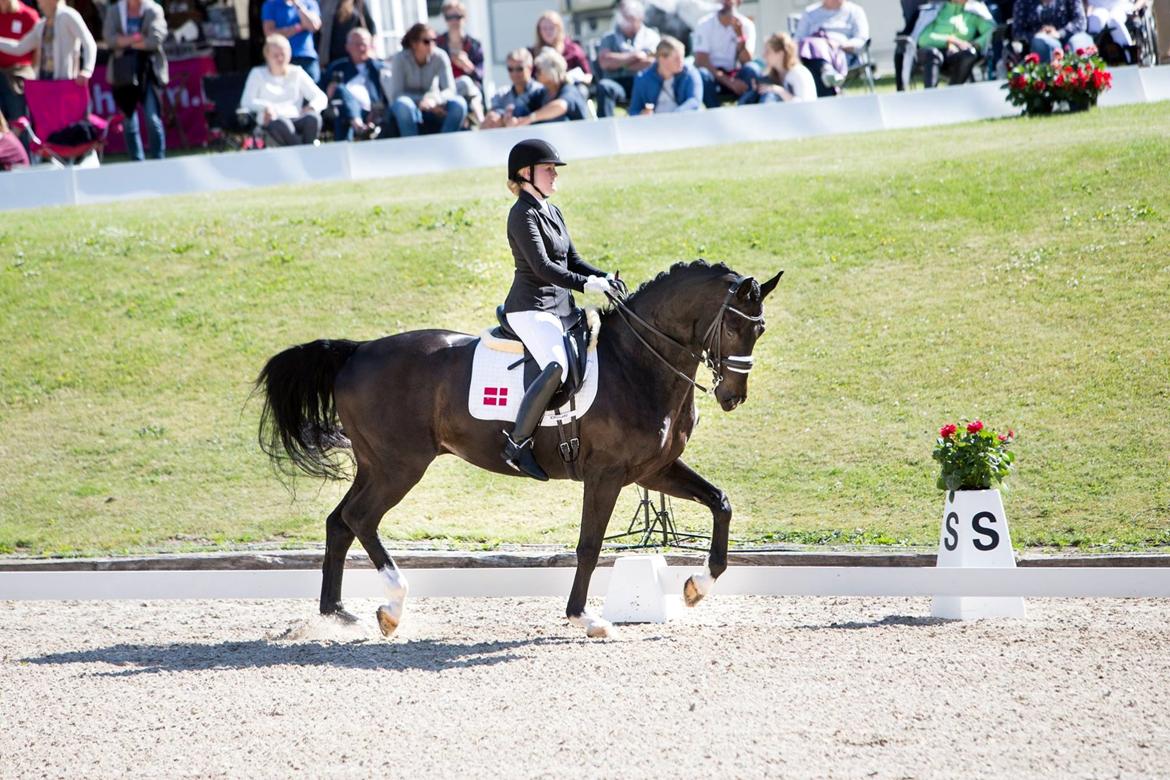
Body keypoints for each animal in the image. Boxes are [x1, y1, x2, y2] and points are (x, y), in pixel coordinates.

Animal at [259, 261, 781, 640]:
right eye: (733, 329)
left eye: (760, 331)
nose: (732, 396)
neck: (637, 363)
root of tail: (357, 351)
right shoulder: (607, 475)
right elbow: (589, 546)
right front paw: (584, 617)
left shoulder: (653, 469)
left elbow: (720, 503)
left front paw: (695, 588)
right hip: (398, 466)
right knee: (360, 519)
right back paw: (391, 607)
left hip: (375, 465)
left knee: (339, 523)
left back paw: (337, 614)